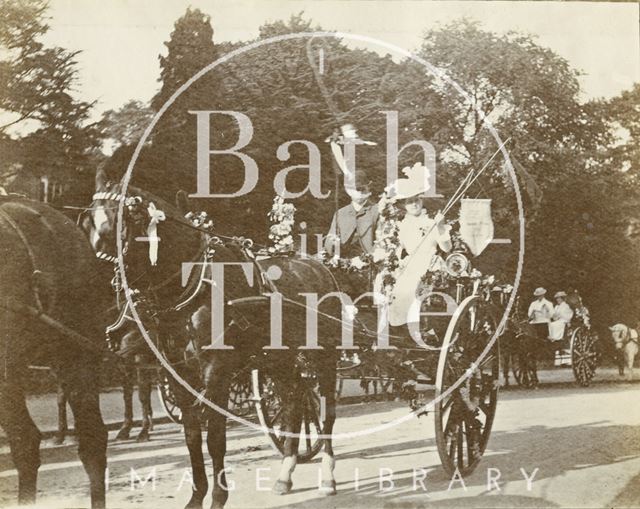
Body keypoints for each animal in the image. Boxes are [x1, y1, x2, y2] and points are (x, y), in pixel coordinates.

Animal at [87, 183, 342, 508]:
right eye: (90, 224)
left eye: (114, 226)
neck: (191, 285)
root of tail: (319, 267)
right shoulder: (178, 375)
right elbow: (192, 437)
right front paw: (197, 495)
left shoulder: (217, 373)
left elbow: (215, 439)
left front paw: (219, 497)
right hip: (278, 361)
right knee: (295, 401)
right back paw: (285, 473)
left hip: (324, 358)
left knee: (327, 410)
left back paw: (328, 475)